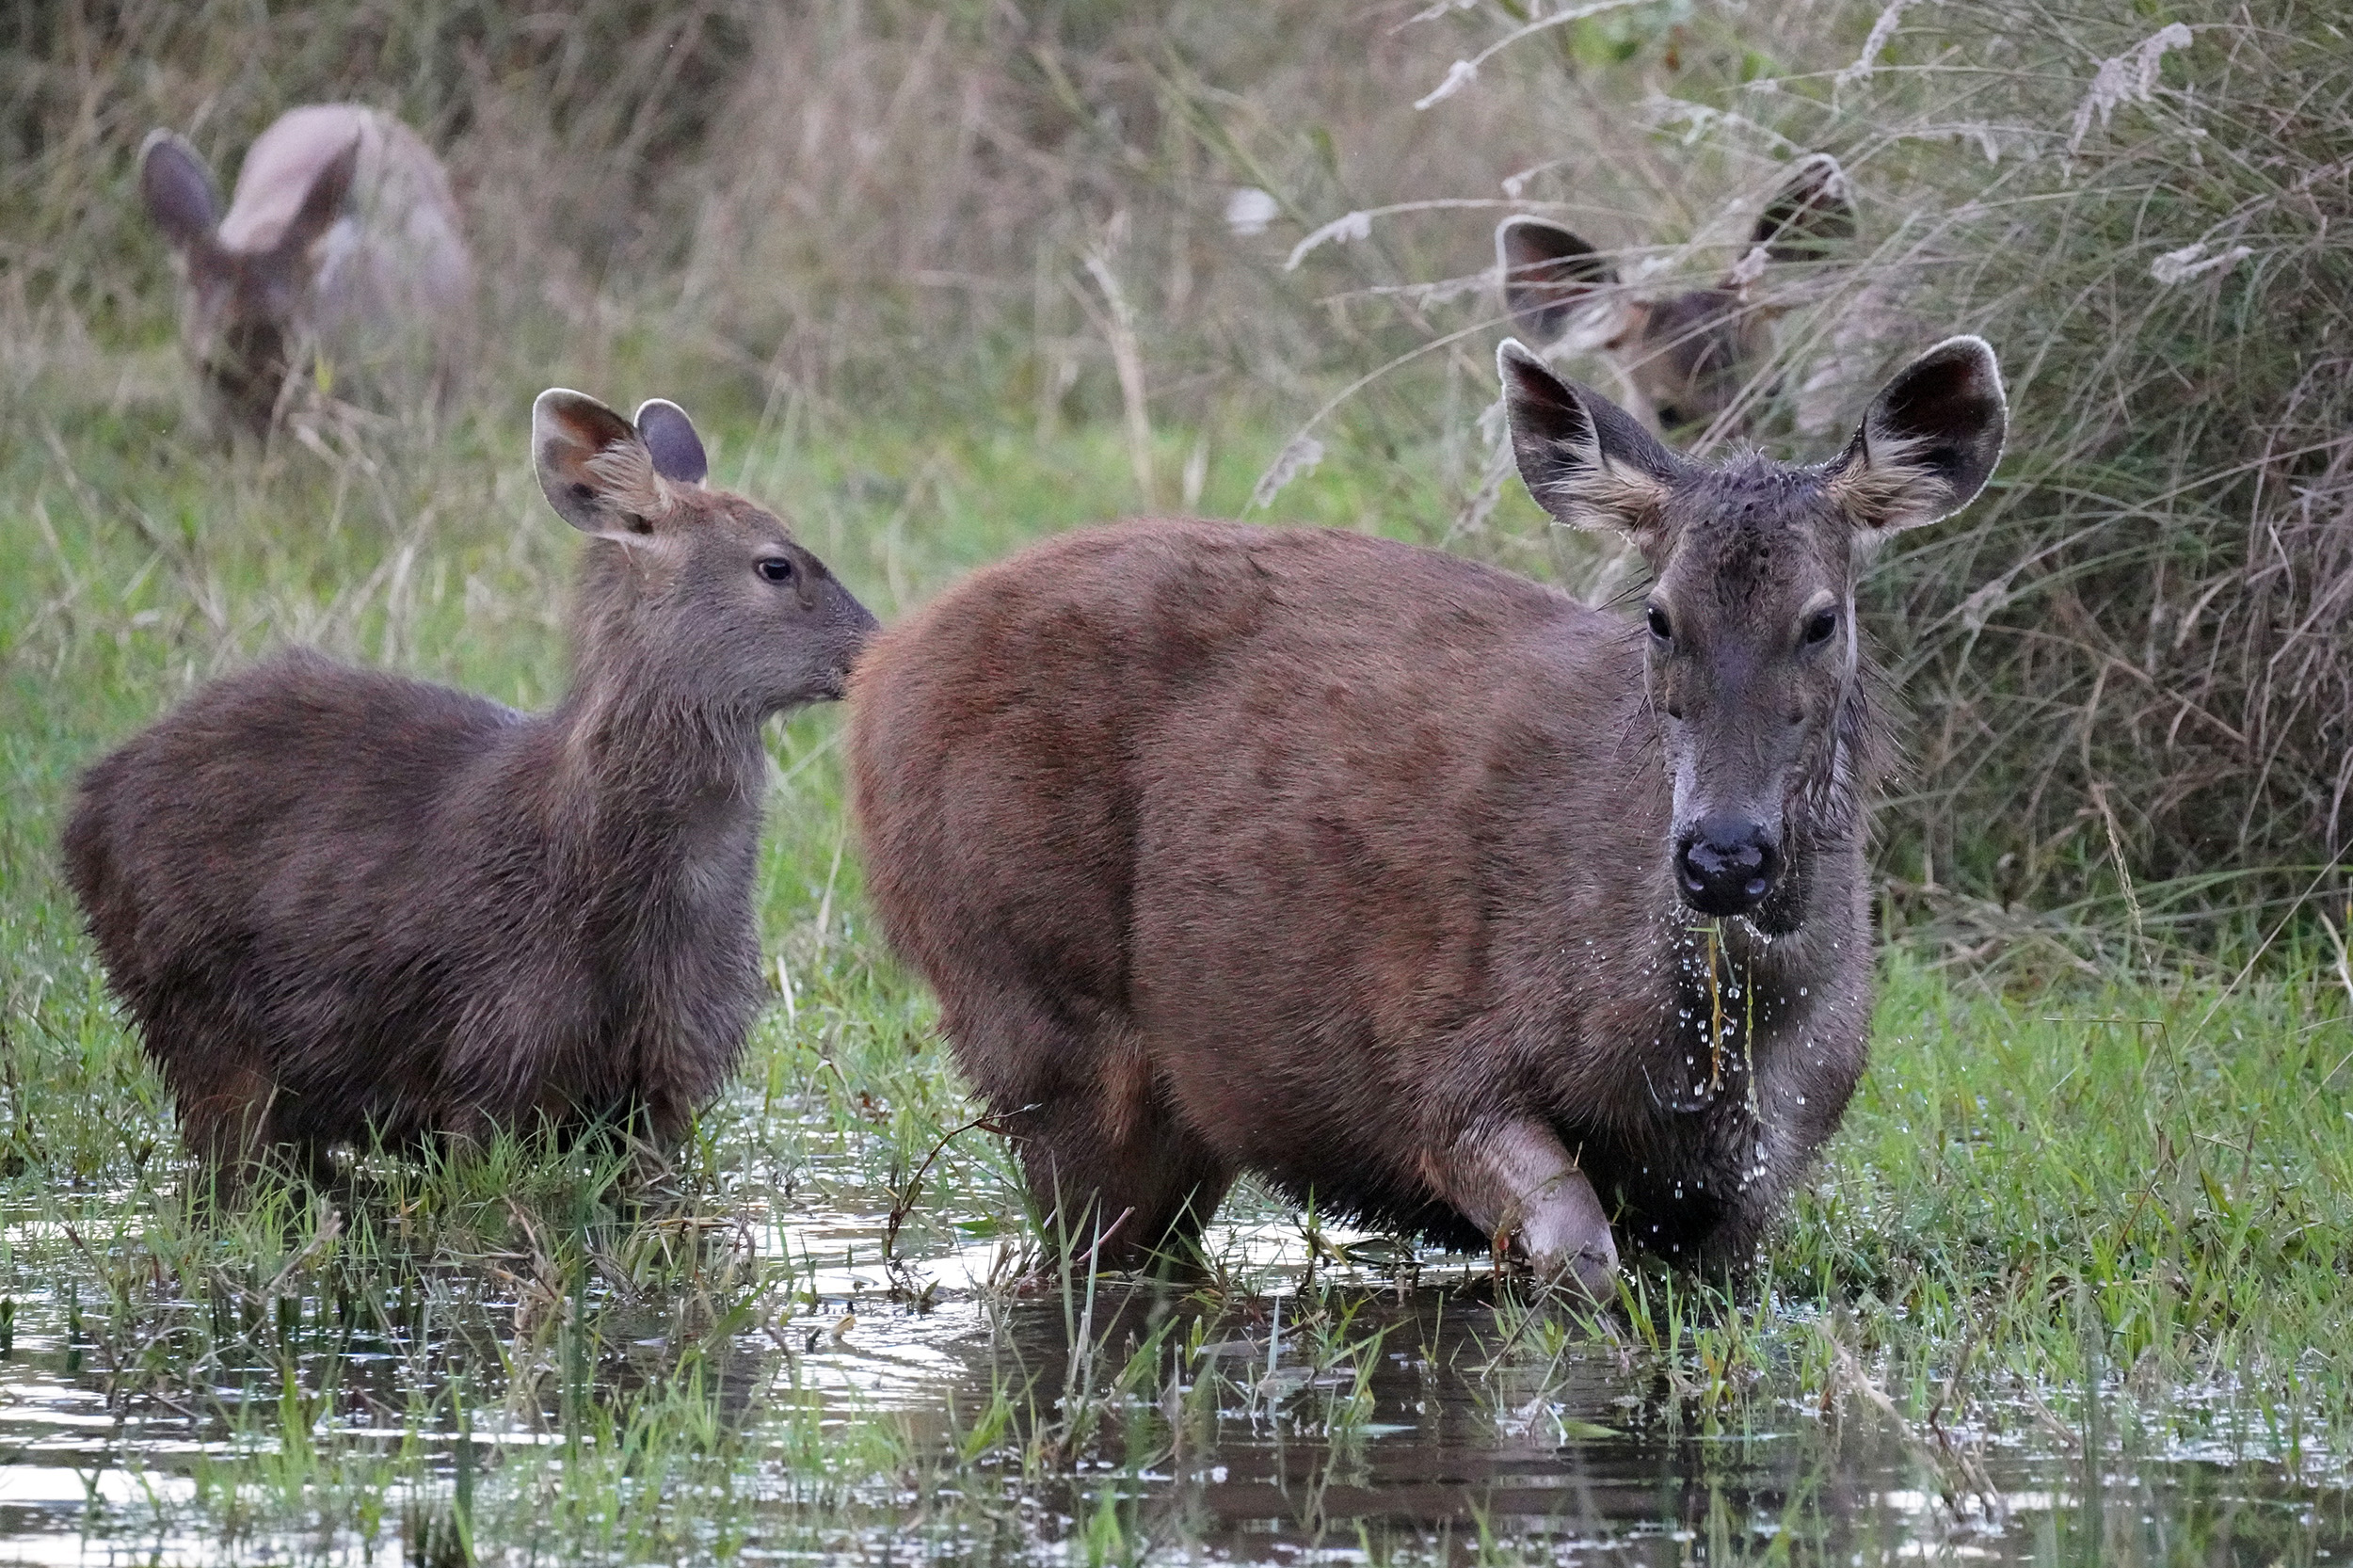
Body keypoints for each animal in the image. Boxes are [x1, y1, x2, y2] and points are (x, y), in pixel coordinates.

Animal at [64, 391, 877, 1180]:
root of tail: (84, 807)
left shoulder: (672, 1069)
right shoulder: (491, 1048)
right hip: (192, 1003)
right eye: (776, 566)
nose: (878, 648)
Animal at [847, 335, 2003, 1295]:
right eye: (1658, 614)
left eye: (1821, 620)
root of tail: (878, 669)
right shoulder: (1439, 1070)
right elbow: (1576, 1265)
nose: (1723, 855)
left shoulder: (1756, 1183)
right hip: (1029, 1005)